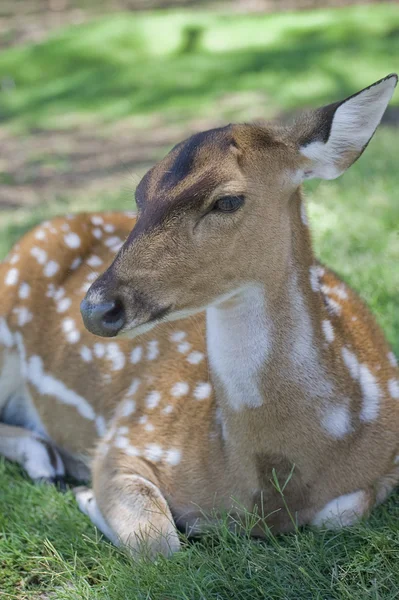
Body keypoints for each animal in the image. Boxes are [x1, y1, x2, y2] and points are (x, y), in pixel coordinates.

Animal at [0, 75, 399, 556]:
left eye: (227, 201)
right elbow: (158, 541)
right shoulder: (127, 432)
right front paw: (88, 493)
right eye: (140, 195)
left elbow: (339, 514)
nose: (96, 308)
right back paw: (47, 462)